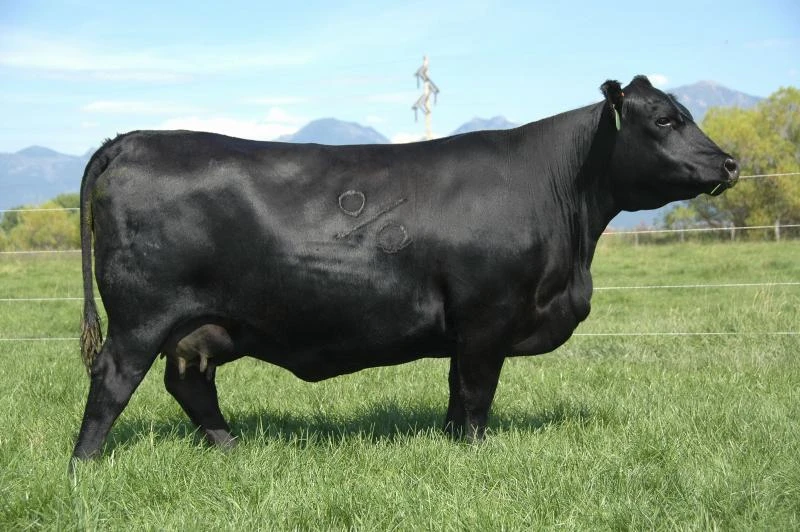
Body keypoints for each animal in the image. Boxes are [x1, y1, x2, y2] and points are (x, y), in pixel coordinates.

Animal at [72, 76, 739, 461]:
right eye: (665, 120)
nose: (730, 163)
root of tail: (133, 138)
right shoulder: (487, 318)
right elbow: (476, 394)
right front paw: (476, 456)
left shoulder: (466, 330)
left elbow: (455, 393)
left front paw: (451, 446)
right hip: (141, 315)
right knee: (113, 378)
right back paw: (84, 466)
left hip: (199, 325)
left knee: (189, 380)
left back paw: (232, 450)